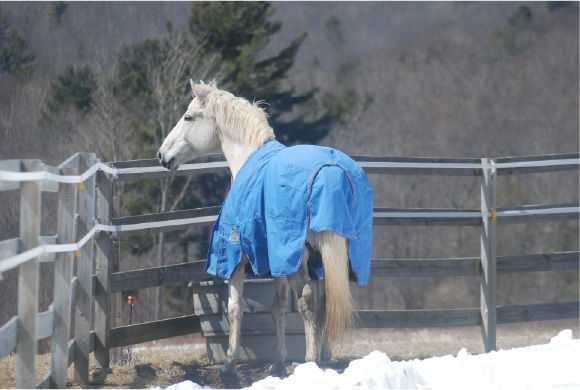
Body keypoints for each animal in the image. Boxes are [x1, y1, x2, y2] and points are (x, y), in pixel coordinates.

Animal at [157, 80, 372, 374]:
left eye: (188, 117)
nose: (162, 155)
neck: (248, 156)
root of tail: (332, 169)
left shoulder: (238, 258)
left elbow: (235, 307)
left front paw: (230, 361)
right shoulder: (278, 260)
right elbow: (278, 308)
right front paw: (279, 362)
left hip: (299, 258)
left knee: (307, 300)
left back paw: (310, 360)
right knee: (326, 302)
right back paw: (318, 356)